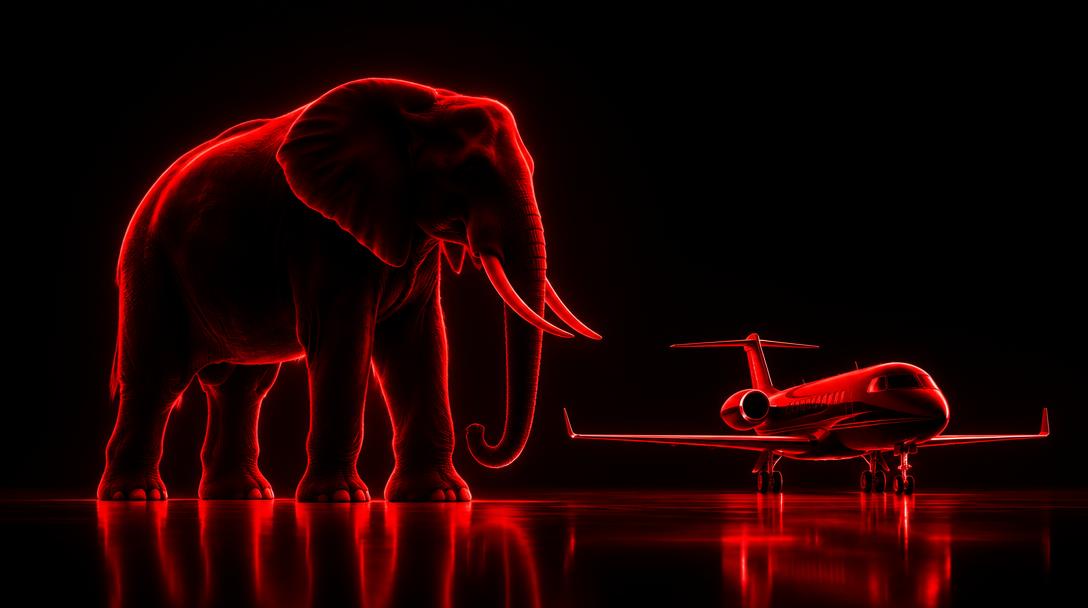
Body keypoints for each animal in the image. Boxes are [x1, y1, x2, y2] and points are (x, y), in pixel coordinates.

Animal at [97, 78, 600, 502]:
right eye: (470, 171)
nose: (479, 432)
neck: (428, 101)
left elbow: (420, 343)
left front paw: (440, 497)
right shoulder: (318, 232)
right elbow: (345, 340)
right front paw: (338, 499)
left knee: (242, 386)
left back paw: (244, 495)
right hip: (149, 265)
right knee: (157, 377)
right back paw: (135, 496)